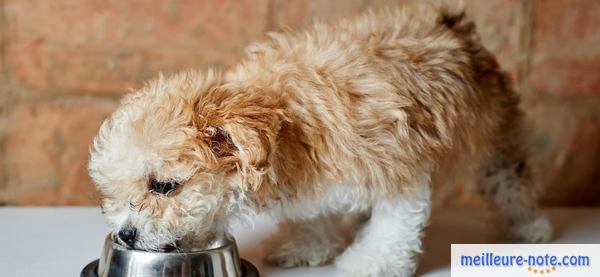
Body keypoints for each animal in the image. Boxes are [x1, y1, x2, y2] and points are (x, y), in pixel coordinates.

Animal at [86, 1, 552, 274]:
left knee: (511, 182)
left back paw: (529, 226)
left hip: (496, 139)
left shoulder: (398, 166)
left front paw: (369, 262)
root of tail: (453, 23)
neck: (286, 124)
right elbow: (313, 215)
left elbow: (394, 225)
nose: (126, 235)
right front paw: (310, 246)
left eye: (164, 186)